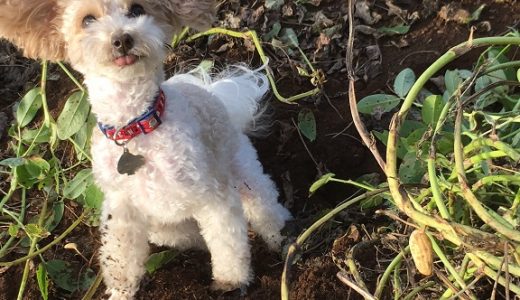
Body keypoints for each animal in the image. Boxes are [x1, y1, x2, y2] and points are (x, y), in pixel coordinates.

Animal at [0, 0, 292, 298]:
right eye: (87, 20)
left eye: (137, 9)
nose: (122, 39)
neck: (137, 130)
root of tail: (212, 89)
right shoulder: (122, 208)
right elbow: (120, 257)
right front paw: (120, 291)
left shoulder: (212, 194)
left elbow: (228, 242)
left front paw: (230, 280)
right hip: (161, 226)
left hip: (242, 169)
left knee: (263, 202)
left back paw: (278, 236)